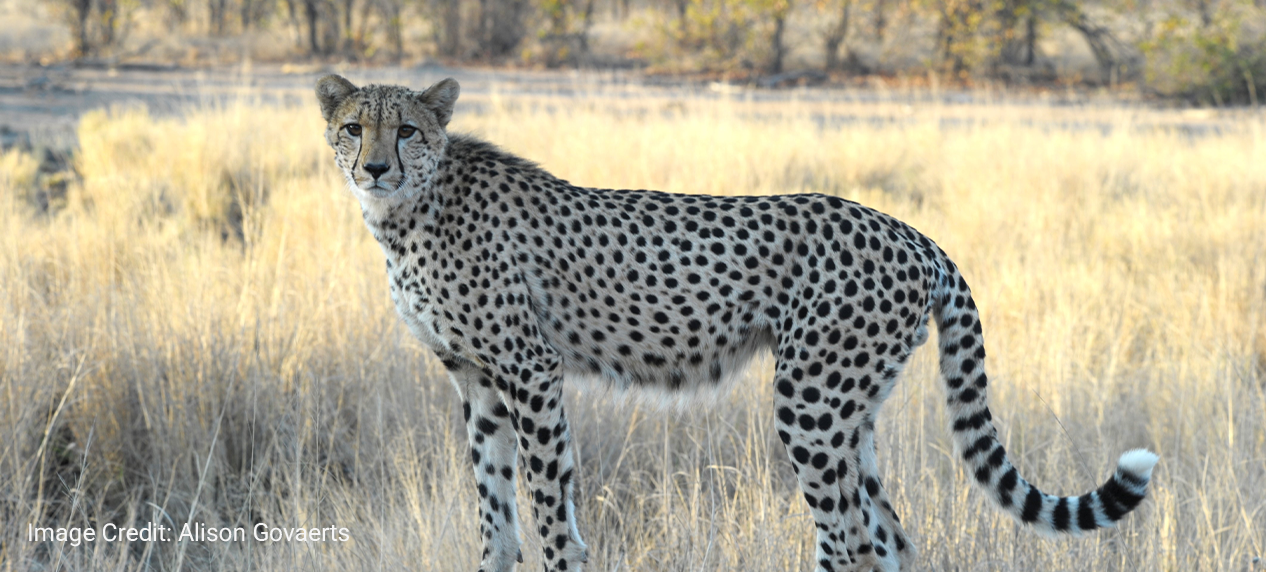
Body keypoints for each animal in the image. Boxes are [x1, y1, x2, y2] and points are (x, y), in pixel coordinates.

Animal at [315, 74, 1159, 572]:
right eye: (356, 126)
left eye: (408, 130)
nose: (376, 167)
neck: (411, 212)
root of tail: (909, 231)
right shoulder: (475, 379)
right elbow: (493, 504)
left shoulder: (530, 371)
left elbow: (549, 504)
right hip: (854, 412)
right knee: (889, 536)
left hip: (811, 403)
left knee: (849, 543)